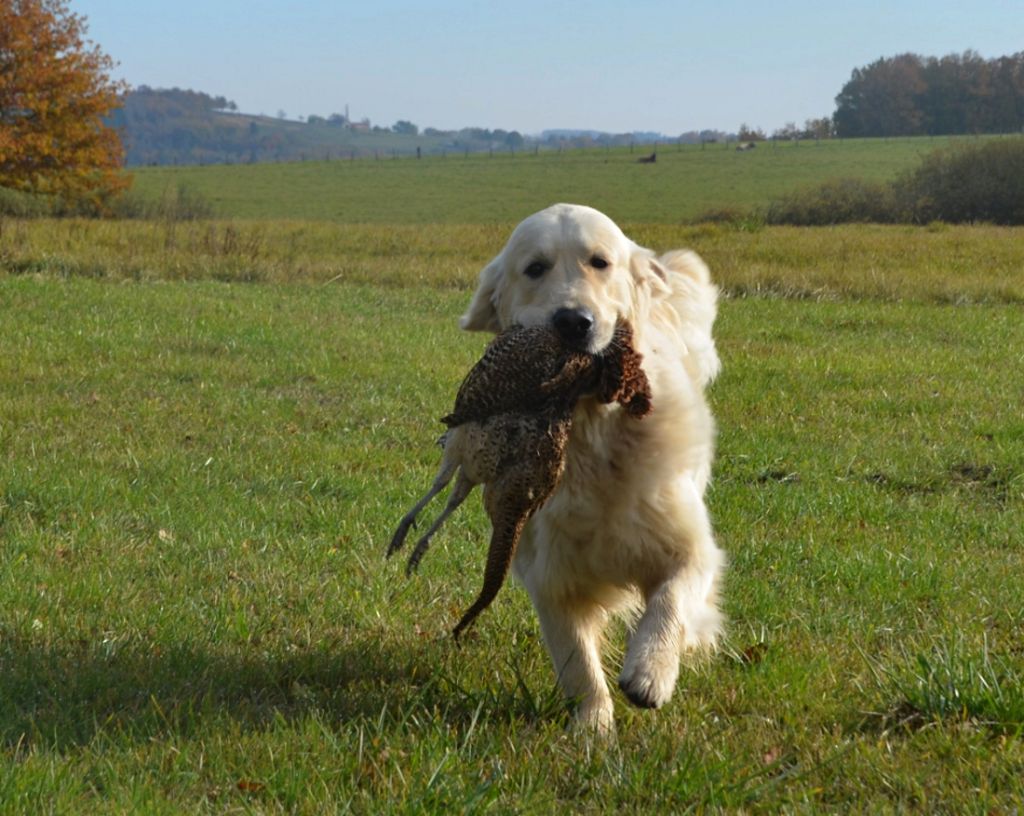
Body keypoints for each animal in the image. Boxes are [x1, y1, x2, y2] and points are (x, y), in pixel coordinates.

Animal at [460, 203, 724, 733]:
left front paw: (651, 670)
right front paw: (593, 729)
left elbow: (673, 597)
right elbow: (576, 659)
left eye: (600, 262)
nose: (573, 322)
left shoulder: (690, 544)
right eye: (535, 268)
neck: (590, 433)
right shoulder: (549, 574)